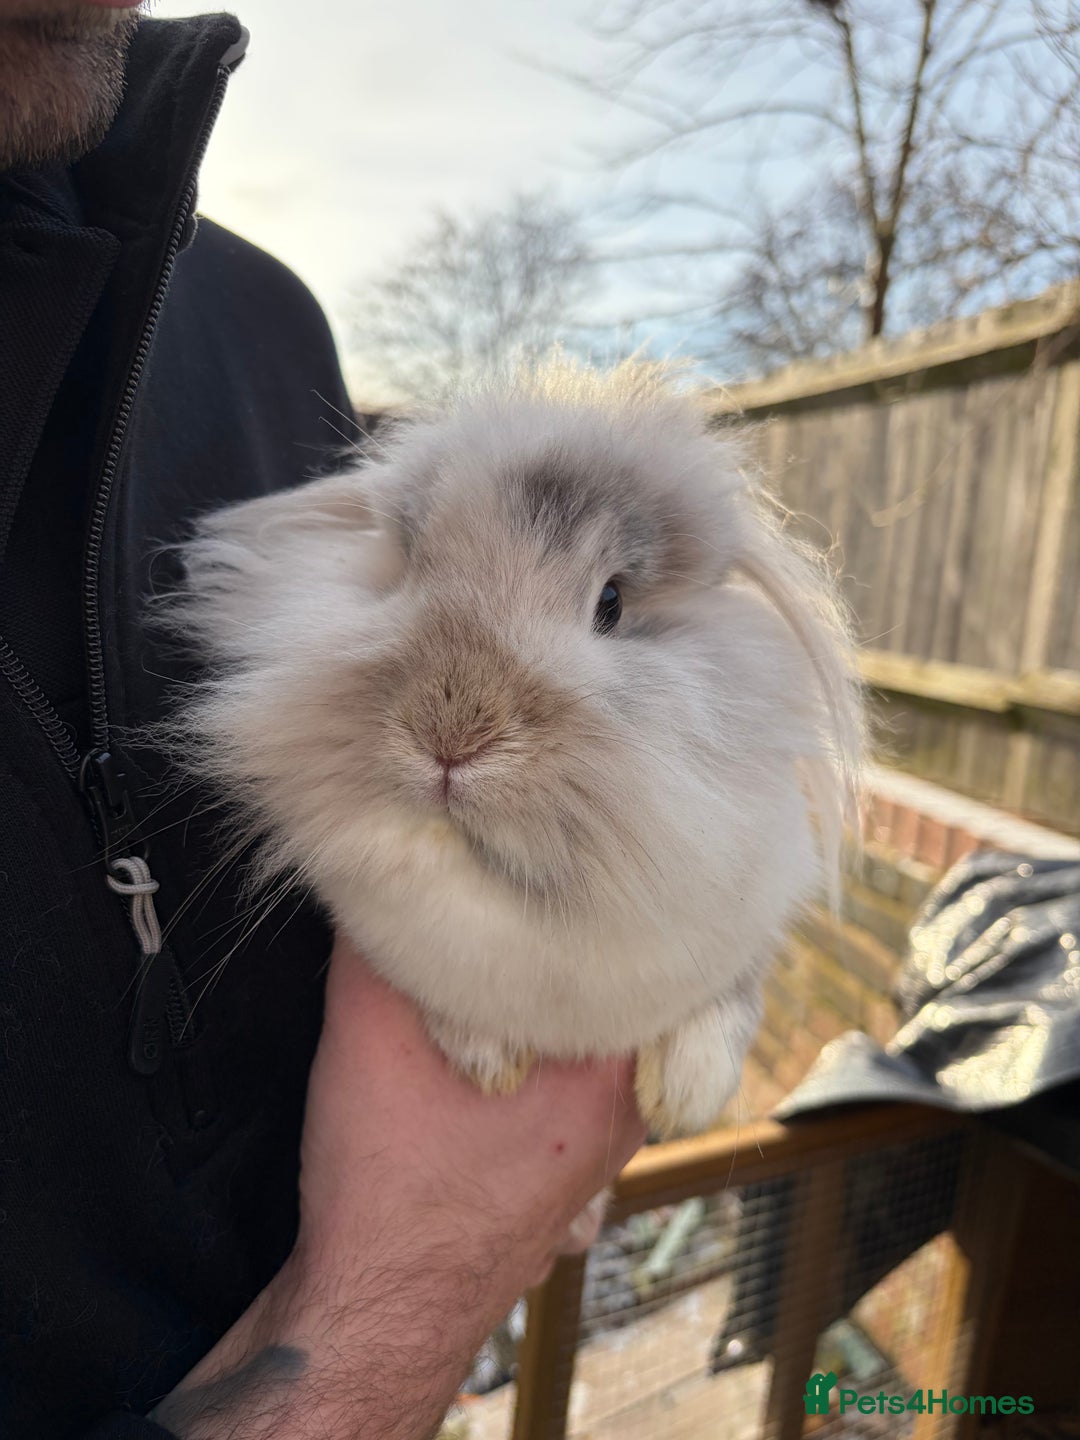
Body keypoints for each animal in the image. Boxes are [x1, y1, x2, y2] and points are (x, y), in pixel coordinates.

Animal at [165, 358, 862, 1140]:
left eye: (612, 603)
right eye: (409, 568)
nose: (448, 738)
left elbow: (733, 1004)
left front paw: (685, 1098)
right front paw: (489, 1064)